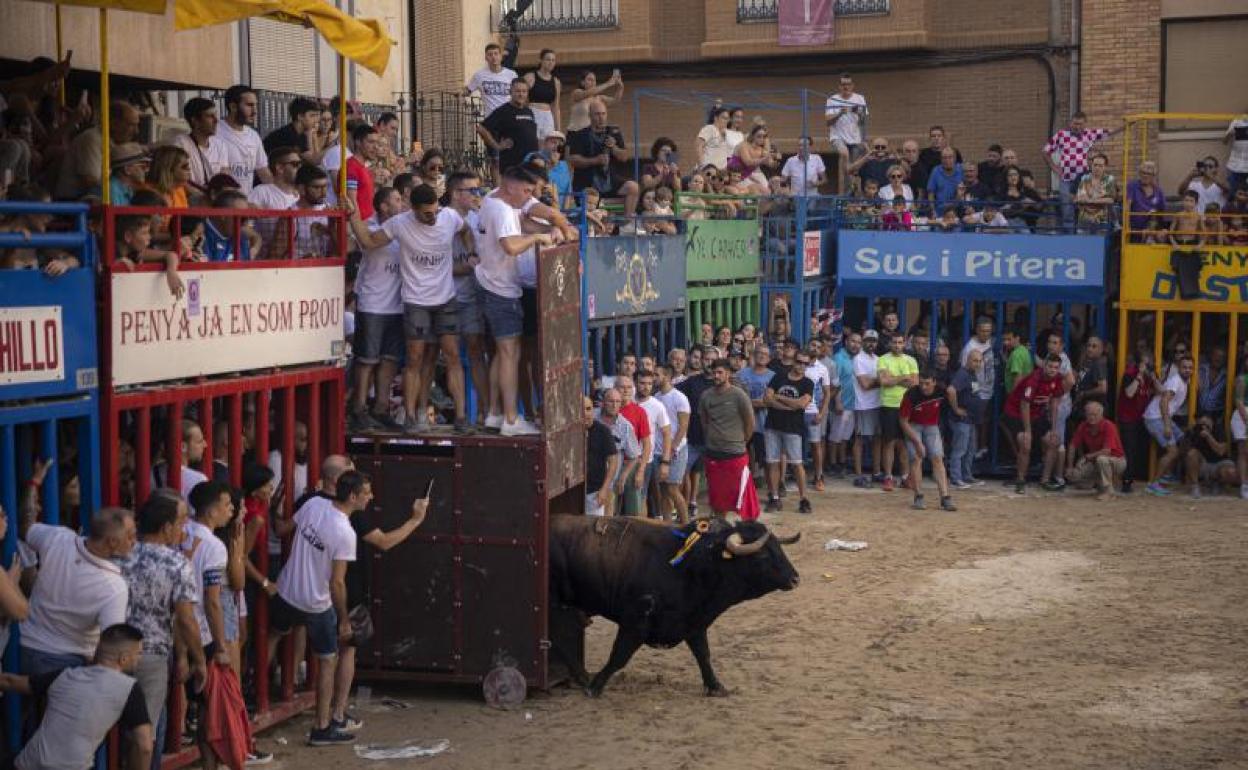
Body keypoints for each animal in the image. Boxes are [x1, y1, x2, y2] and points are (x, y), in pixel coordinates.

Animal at [546, 514, 798, 693]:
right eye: (762, 556)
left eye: (779, 548)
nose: (795, 578)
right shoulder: (635, 622)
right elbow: (619, 656)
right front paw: (596, 686)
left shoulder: (694, 622)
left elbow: (703, 655)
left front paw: (716, 686)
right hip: (553, 603)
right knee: (559, 636)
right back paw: (583, 677)